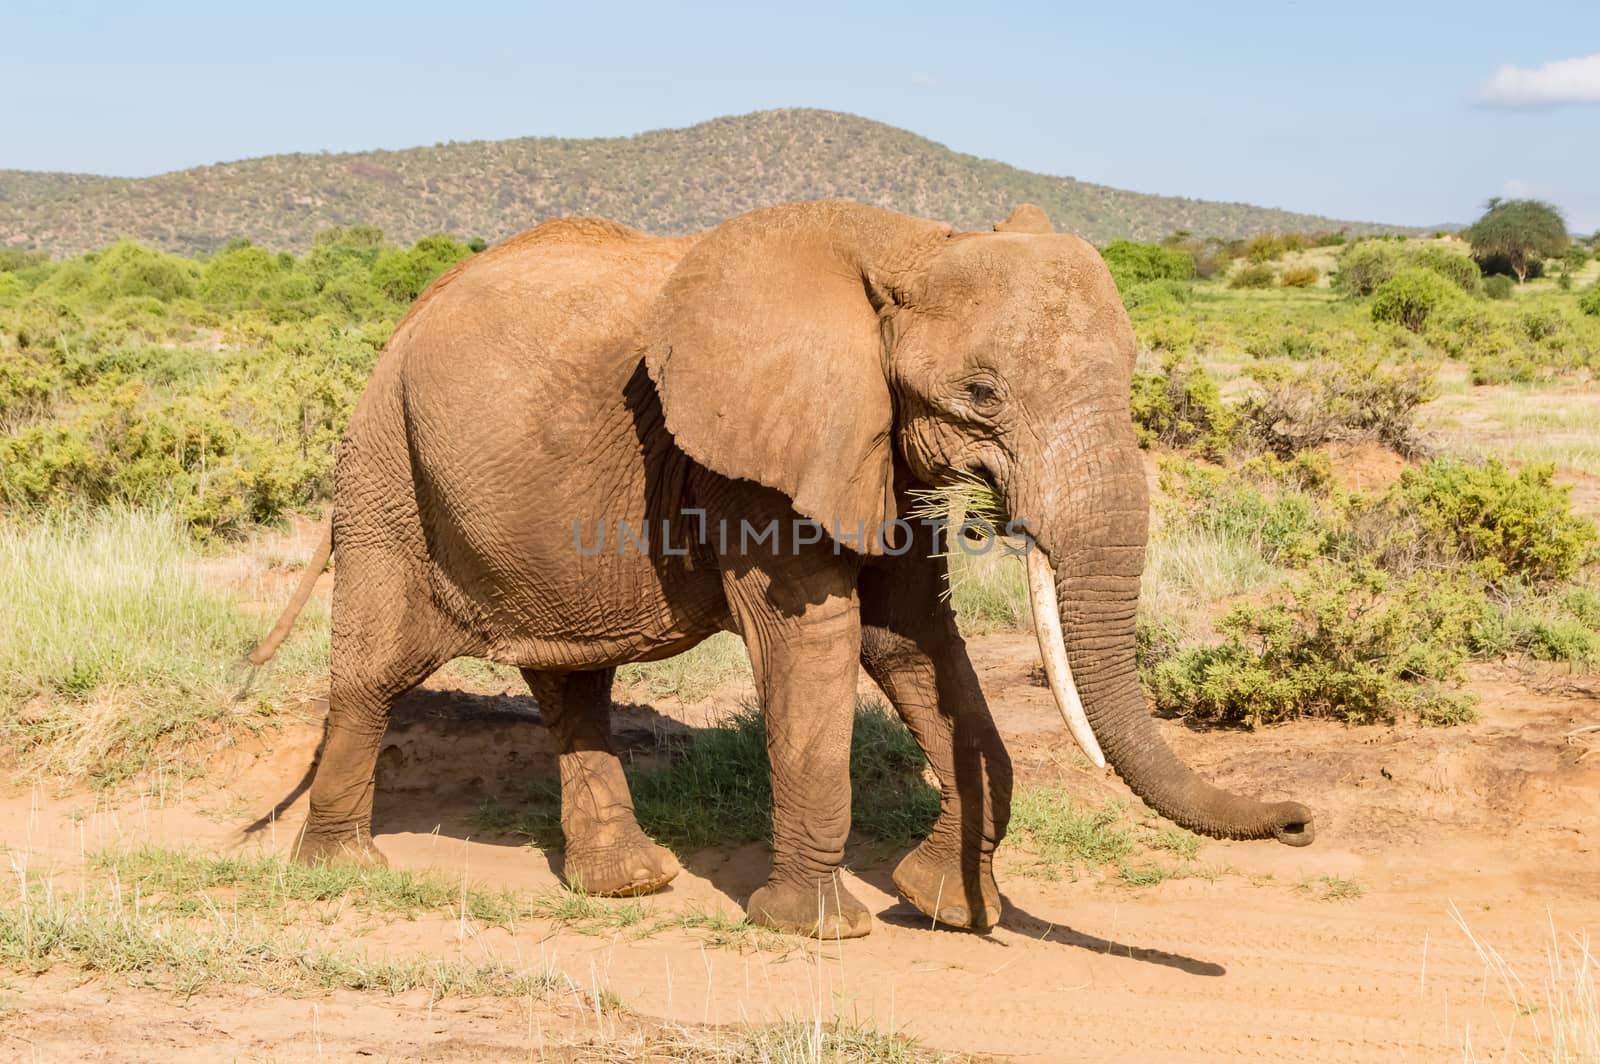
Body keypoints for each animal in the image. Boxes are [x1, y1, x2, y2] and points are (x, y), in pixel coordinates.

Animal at [252, 199, 1312, 940]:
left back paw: (630, 883)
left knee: (572, 679)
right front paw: (818, 929)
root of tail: (406, 316)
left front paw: (948, 906)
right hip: (383, 465)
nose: (1301, 822)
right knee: (377, 669)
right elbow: (817, 640)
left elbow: (916, 642)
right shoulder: (756, 462)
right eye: (981, 393)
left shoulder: (874, 448)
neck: (911, 243)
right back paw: (342, 875)